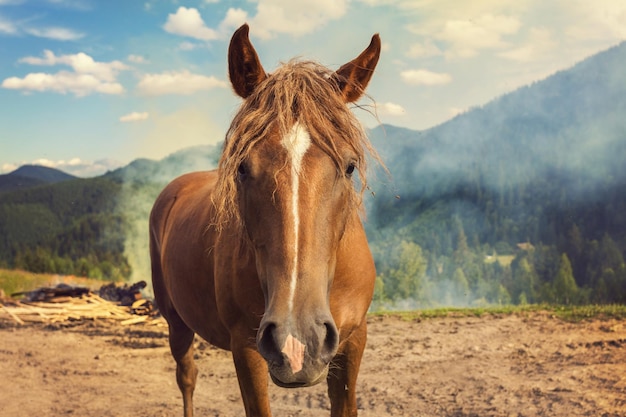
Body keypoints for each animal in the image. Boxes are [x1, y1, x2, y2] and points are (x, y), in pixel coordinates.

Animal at [151, 24, 380, 414]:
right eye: (242, 168)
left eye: (349, 166)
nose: (298, 341)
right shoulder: (247, 349)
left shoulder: (353, 342)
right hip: (176, 323)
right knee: (187, 377)